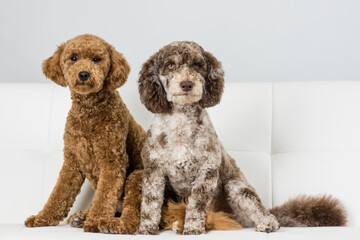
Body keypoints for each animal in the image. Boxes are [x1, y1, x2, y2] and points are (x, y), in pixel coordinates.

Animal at [24, 34, 146, 234]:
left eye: (97, 59)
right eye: (73, 58)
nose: (83, 74)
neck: (88, 111)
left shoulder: (112, 159)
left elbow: (104, 195)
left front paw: (95, 222)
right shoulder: (72, 160)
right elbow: (59, 193)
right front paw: (42, 218)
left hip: (137, 177)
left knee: (134, 214)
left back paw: (114, 225)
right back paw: (81, 217)